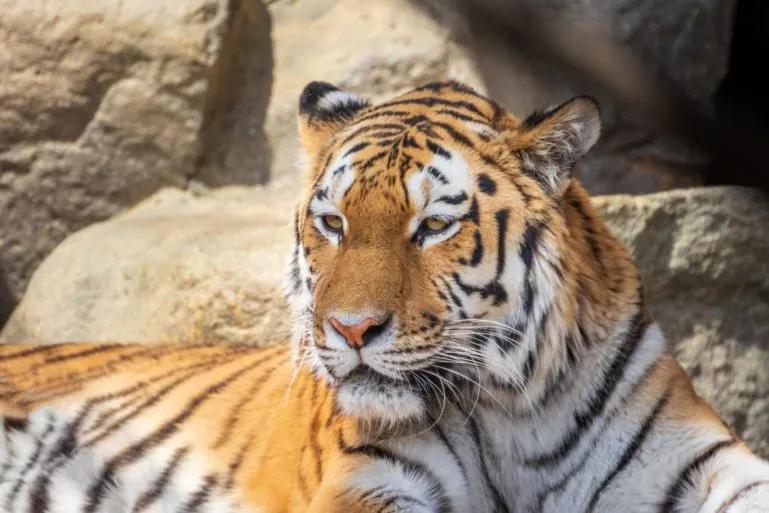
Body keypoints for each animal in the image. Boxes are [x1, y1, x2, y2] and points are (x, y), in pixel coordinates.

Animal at [2, 81, 769, 513]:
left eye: (431, 226)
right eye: (334, 224)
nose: (350, 329)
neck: (515, 412)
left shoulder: (696, 456)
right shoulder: (370, 481)